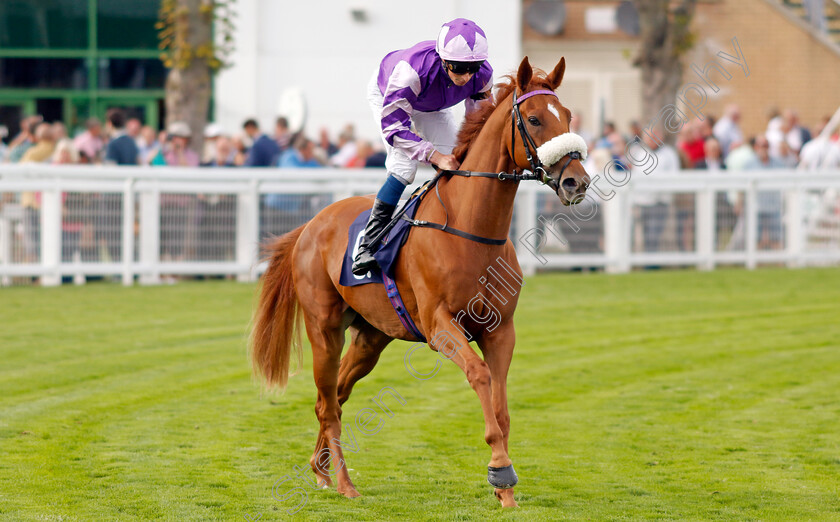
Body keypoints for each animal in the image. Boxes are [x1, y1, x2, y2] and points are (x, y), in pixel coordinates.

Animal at [253, 55, 588, 504]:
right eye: (534, 119)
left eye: (567, 115)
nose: (577, 181)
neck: (470, 229)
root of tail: (310, 224)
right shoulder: (440, 326)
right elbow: (480, 376)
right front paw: (500, 471)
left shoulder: (501, 330)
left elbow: (501, 401)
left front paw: (507, 490)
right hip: (323, 328)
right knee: (328, 404)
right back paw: (344, 483)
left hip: (371, 337)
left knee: (337, 393)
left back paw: (320, 469)